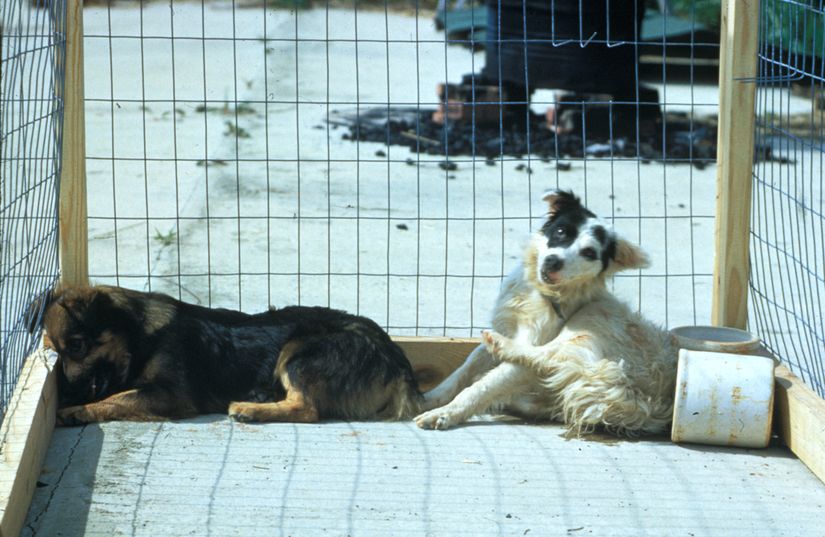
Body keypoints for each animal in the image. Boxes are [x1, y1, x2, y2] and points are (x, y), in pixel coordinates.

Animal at [33, 282, 418, 426]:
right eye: (54, 352)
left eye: (78, 346)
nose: (65, 389)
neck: (139, 336)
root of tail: (397, 360)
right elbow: (119, 393)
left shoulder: (172, 394)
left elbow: (118, 398)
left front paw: (78, 410)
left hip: (298, 352)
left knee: (307, 409)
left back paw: (250, 409)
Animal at [416, 191, 680, 434]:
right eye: (561, 231)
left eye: (589, 253)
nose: (553, 261)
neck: (542, 294)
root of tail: (648, 403)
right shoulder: (503, 328)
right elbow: (462, 371)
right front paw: (429, 399)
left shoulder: (525, 357)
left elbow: (483, 386)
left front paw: (445, 413)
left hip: (592, 320)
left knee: (546, 357)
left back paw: (501, 347)